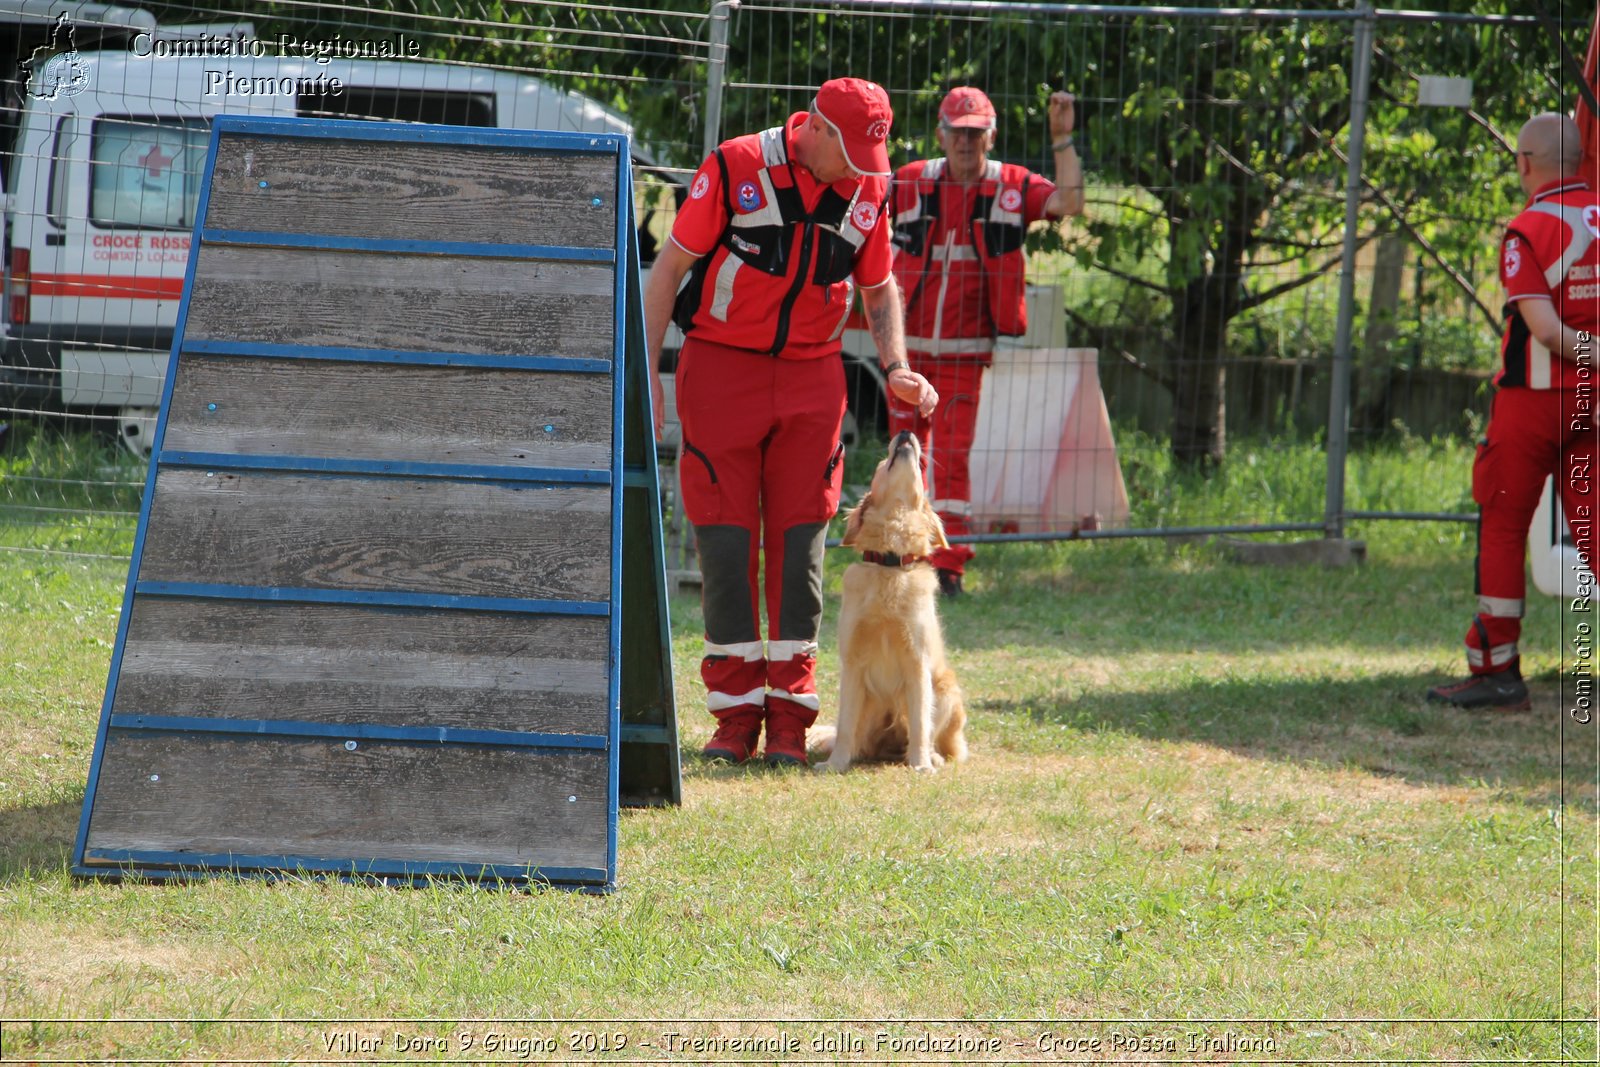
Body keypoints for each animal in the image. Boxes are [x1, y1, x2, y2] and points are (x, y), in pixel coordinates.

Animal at [812, 435, 960, 777]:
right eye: (882, 463)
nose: (906, 432)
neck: (890, 564)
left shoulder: (917, 662)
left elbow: (920, 723)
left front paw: (921, 764)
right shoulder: (852, 663)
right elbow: (846, 723)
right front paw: (835, 763)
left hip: (946, 688)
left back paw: (933, 757)